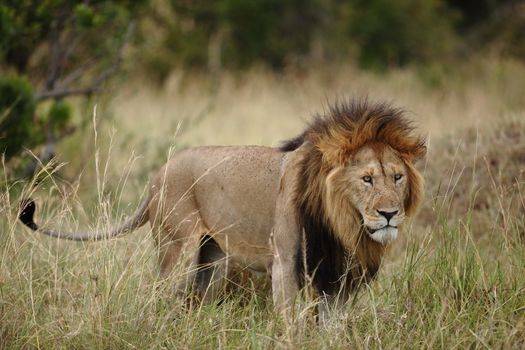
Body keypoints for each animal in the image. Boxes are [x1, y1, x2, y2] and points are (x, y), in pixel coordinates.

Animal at [19, 98, 426, 318]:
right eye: (367, 179)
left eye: (397, 178)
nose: (390, 214)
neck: (341, 221)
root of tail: (157, 176)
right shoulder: (285, 263)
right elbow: (292, 323)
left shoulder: (335, 275)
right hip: (177, 249)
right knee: (158, 294)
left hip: (211, 259)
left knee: (195, 301)